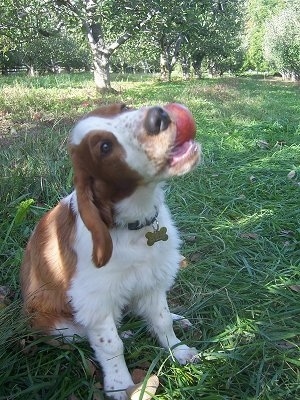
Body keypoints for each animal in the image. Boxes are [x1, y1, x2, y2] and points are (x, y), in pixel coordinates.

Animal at [21, 104, 202, 400]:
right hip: (57, 325)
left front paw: (178, 350)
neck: (133, 225)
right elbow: (110, 344)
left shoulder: (153, 277)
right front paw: (121, 385)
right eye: (104, 147)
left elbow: (162, 319)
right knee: (85, 334)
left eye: (123, 108)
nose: (159, 115)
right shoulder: (95, 299)